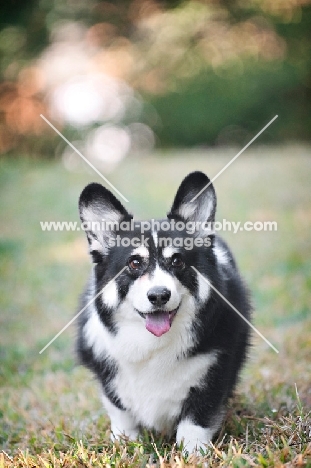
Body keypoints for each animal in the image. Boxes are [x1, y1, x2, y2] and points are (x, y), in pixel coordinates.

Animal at [77, 172, 252, 454]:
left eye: (177, 261)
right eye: (134, 263)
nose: (159, 295)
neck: (153, 345)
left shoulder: (214, 374)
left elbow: (196, 420)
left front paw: (193, 453)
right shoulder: (110, 382)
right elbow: (121, 414)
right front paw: (126, 444)